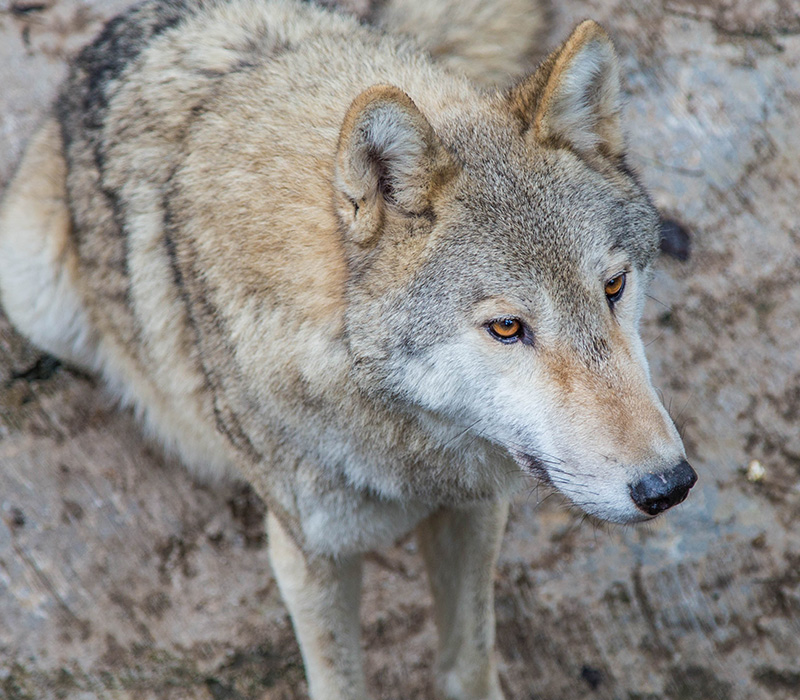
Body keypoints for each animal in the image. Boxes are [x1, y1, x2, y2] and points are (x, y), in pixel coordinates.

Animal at [0, 2, 692, 696]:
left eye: (614, 286)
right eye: (506, 328)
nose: (668, 485)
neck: (406, 449)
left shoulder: (473, 512)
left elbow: (468, 661)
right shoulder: (312, 556)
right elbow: (340, 678)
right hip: (33, 288)